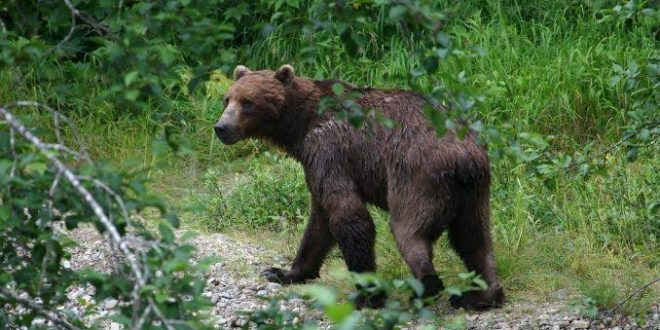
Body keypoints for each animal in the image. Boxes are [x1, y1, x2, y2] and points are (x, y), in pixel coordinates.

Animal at [214, 64, 502, 310]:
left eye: (248, 102)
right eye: (227, 99)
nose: (221, 127)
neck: (300, 125)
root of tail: (463, 156)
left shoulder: (329, 150)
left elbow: (349, 217)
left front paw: (368, 295)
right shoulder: (314, 162)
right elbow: (318, 225)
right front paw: (281, 272)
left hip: (416, 175)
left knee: (408, 230)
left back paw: (425, 289)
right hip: (474, 190)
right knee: (475, 239)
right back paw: (481, 294)